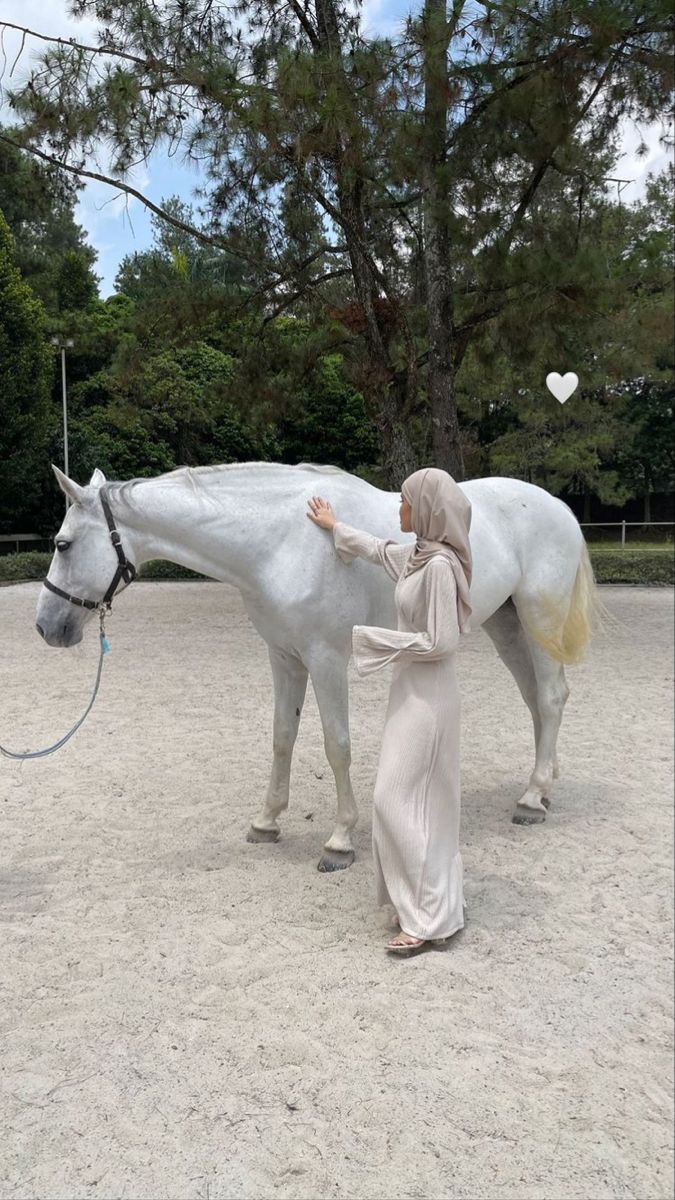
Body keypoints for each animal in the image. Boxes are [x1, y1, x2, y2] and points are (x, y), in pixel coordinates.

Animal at [34, 460, 600, 873]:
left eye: (63, 544)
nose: (46, 627)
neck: (279, 540)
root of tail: (557, 506)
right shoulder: (284, 656)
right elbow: (283, 736)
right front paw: (266, 822)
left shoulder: (326, 659)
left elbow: (336, 745)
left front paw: (340, 840)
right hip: (506, 625)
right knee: (536, 700)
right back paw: (542, 786)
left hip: (538, 620)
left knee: (551, 697)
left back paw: (531, 800)